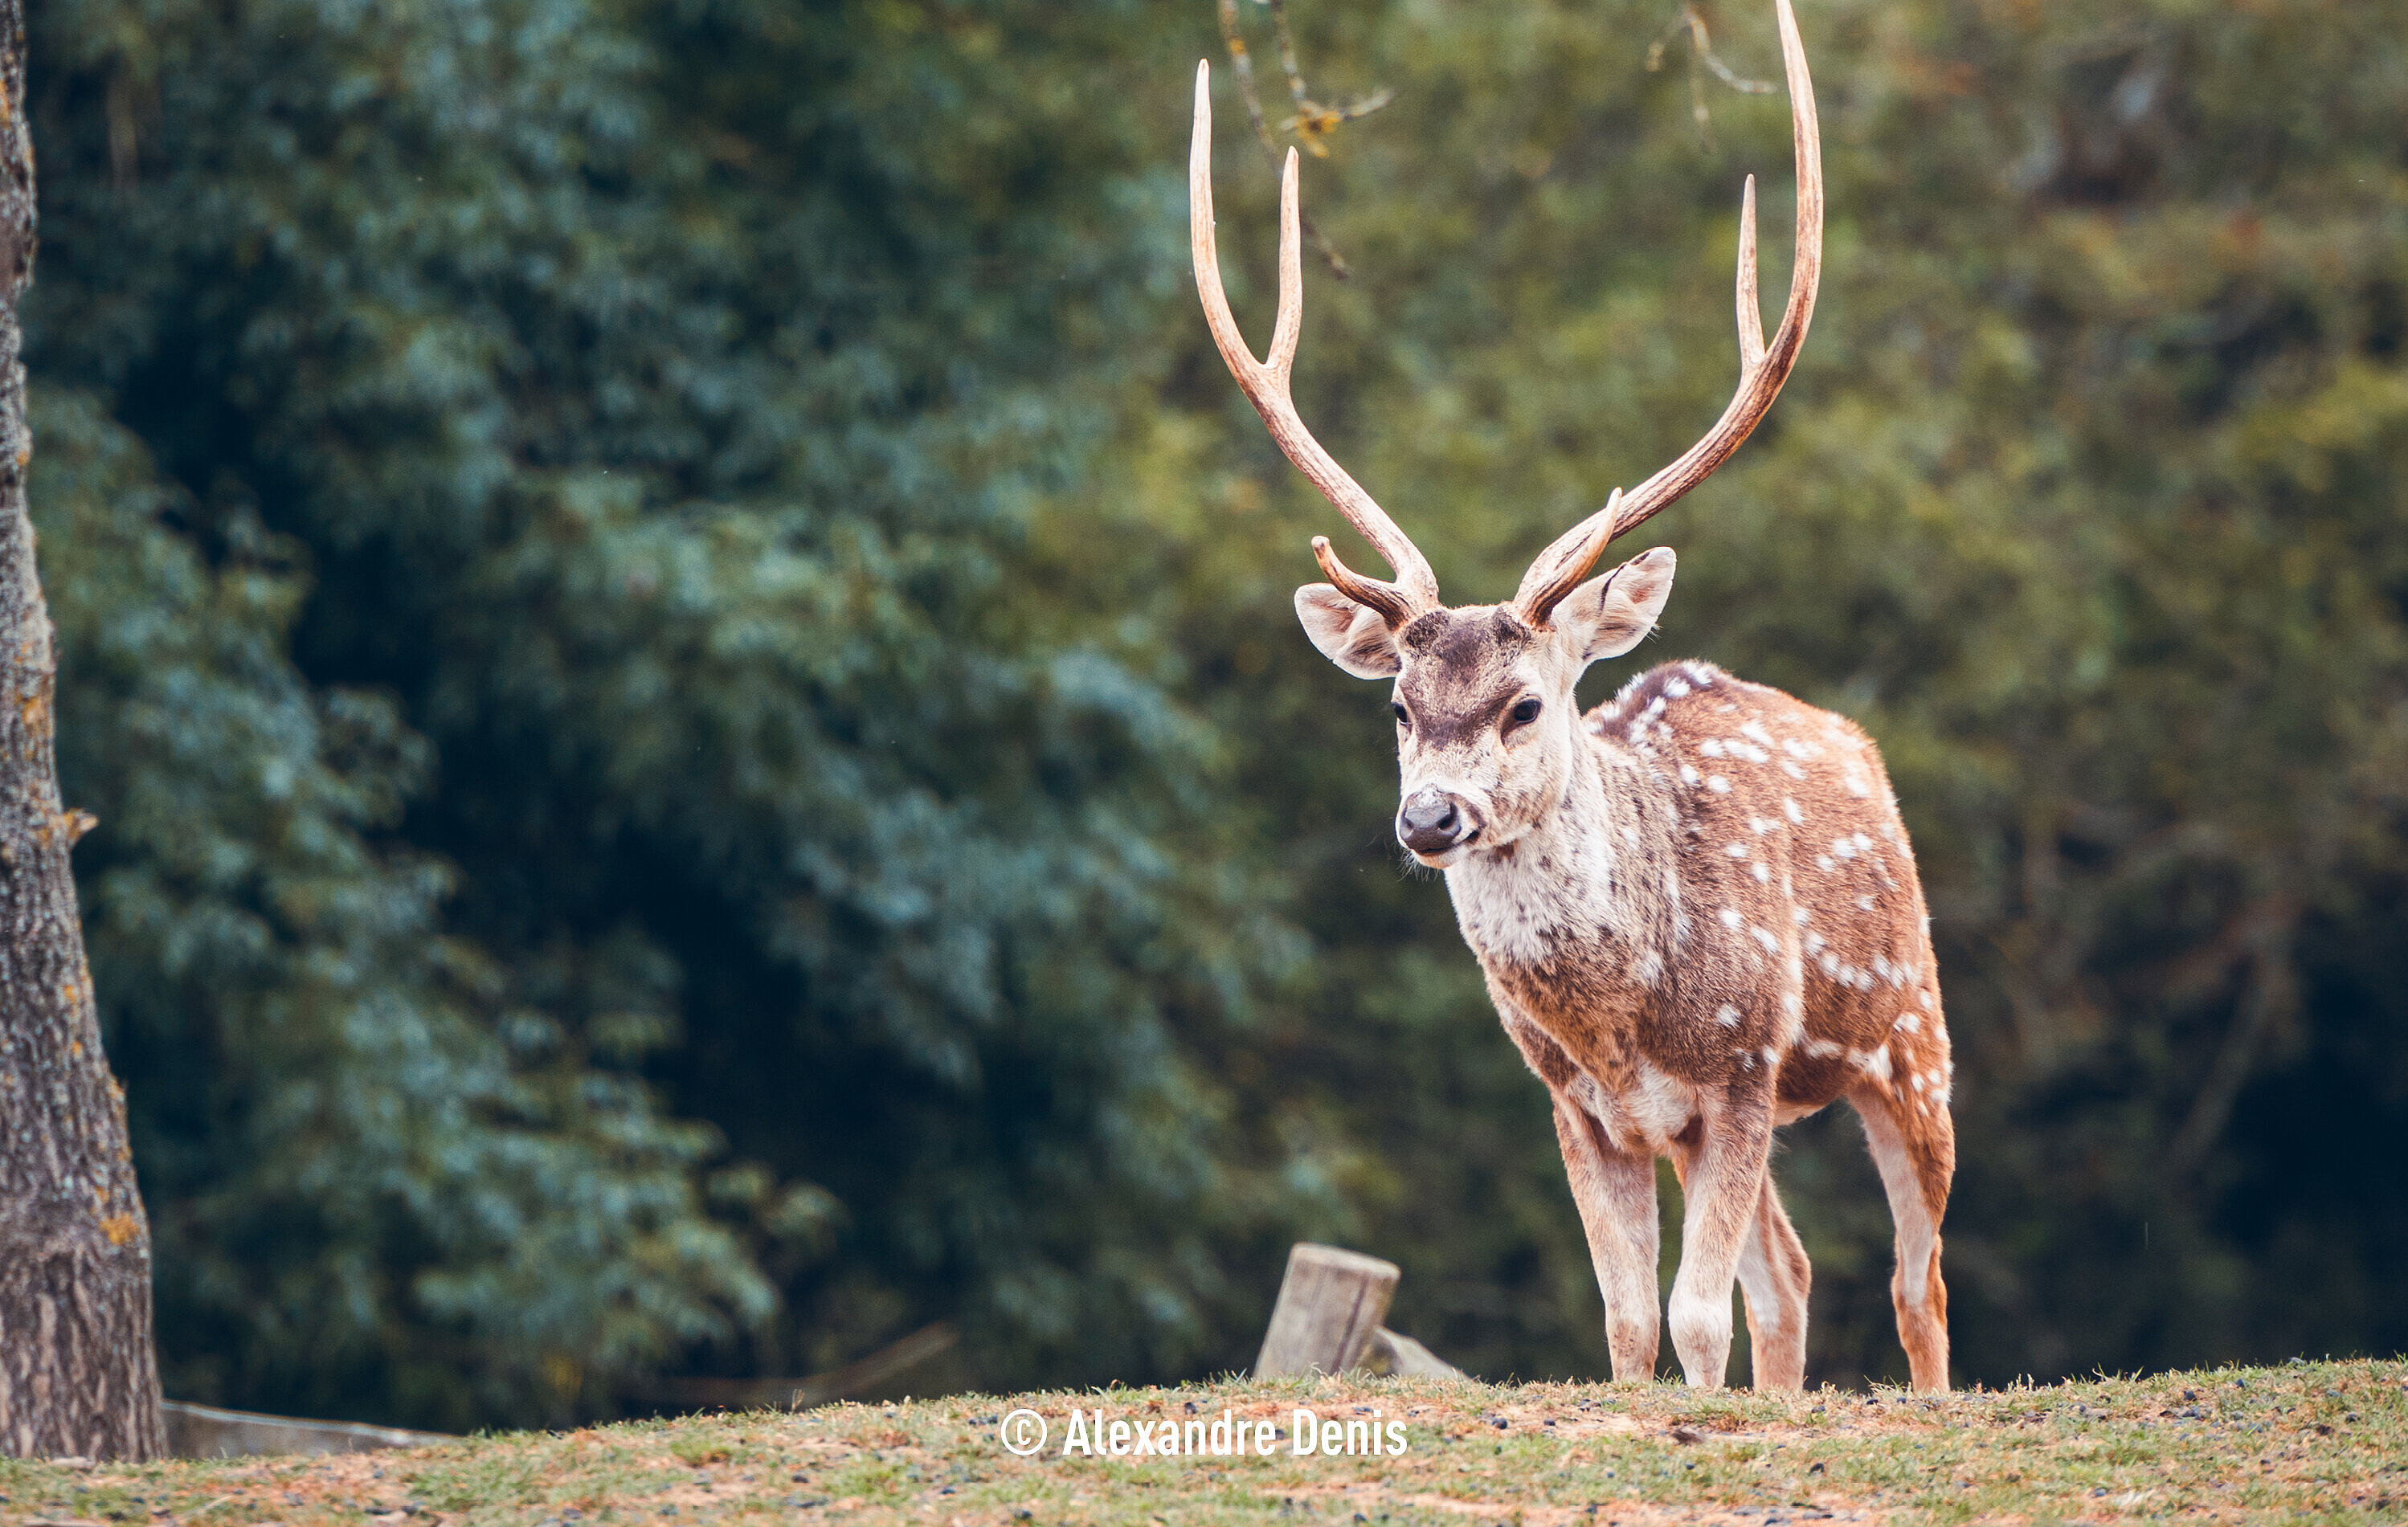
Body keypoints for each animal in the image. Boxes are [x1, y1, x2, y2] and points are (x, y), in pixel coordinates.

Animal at [1189, 0, 1953, 1393]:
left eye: (1526, 706)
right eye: (1397, 709)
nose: (1429, 819)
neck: (1622, 1016)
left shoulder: (1744, 1063)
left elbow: (1695, 1318)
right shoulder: (1579, 1105)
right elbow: (1629, 1320)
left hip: (1909, 1025)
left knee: (1913, 1273)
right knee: (1794, 1271)